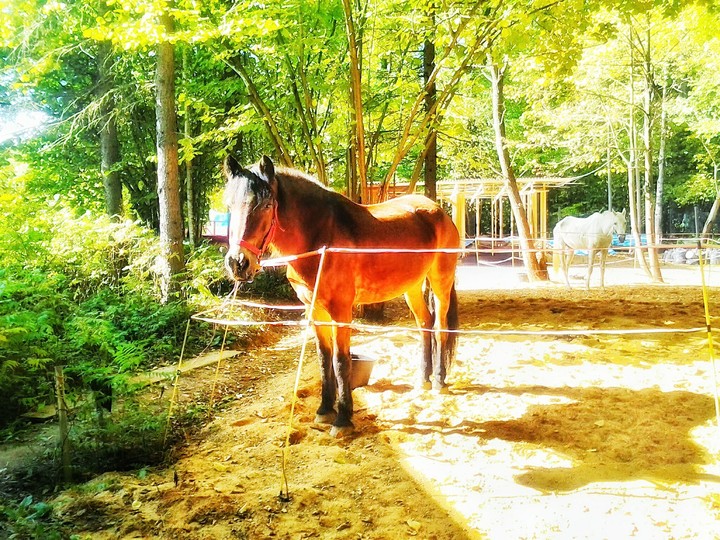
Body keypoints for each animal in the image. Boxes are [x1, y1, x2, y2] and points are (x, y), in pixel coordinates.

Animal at [223, 155, 460, 437]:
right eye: (229, 205)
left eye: (267, 204)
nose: (238, 263)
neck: (320, 240)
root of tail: (439, 211)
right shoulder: (315, 310)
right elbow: (324, 359)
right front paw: (325, 410)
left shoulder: (341, 310)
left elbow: (340, 360)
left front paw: (343, 419)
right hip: (412, 287)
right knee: (425, 324)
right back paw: (422, 379)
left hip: (440, 282)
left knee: (440, 327)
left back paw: (438, 380)